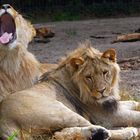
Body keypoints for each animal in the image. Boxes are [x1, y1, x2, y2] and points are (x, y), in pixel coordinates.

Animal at [0, 42, 140, 139]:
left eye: (105, 73)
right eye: (88, 77)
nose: (101, 91)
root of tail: (4, 122)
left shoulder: (111, 105)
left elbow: (132, 102)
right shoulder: (108, 116)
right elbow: (135, 115)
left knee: (60, 134)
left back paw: (97, 133)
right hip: (59, 111)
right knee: (88, 126)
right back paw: (126, 132)